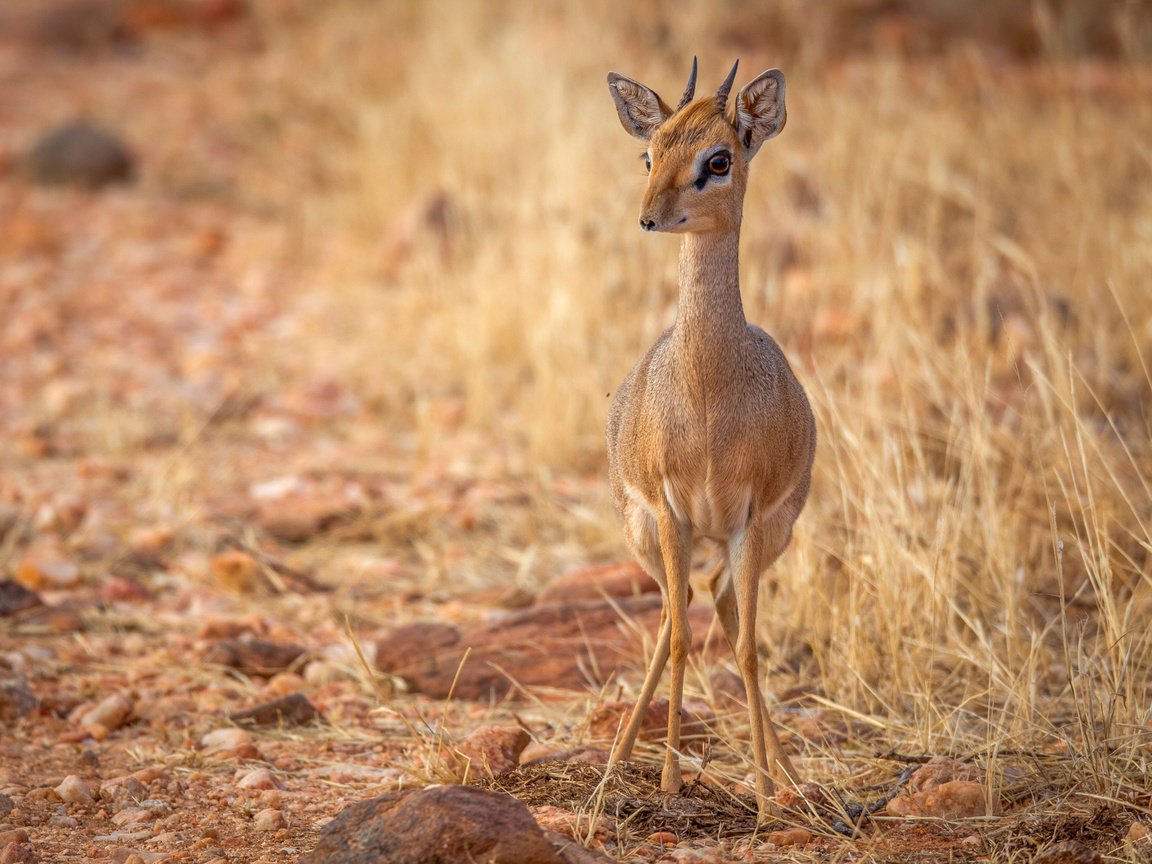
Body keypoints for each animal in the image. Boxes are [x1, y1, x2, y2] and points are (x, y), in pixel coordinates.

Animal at [603, 59, 820, 820]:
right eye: (649, 153)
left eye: (718, 159)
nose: (647, 217)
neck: (707, 397)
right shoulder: (672, 512)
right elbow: (678, 642)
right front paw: (669, 781)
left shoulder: (751, 517)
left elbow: (750, 649)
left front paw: (764, 795)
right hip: (653, 532)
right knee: (678, 615)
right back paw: (618, 763)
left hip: (756, 538)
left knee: (721, 607)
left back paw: (782, 775)